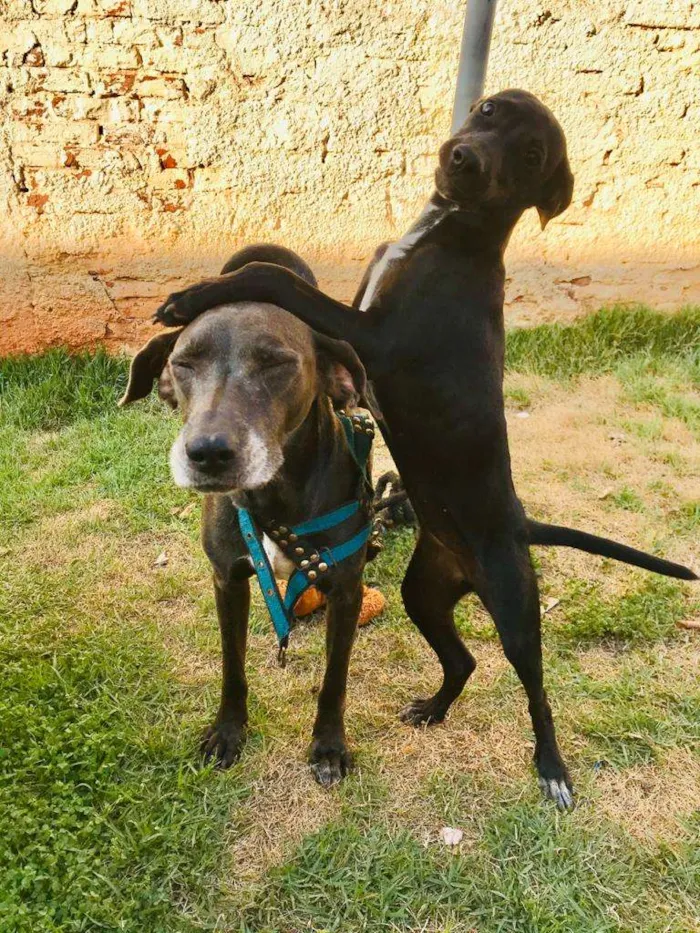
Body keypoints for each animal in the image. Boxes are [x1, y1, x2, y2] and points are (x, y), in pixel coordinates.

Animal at [119, 244, 374, 784]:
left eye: (277, 362)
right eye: (183, 363)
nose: (208, 453)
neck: (273, 498)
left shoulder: (346, 588)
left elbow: (335, 678)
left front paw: (328, 745)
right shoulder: (227, 579)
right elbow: (231, 666)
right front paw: (228, 730)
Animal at [156, 89, 696, 808]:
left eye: (532, 156)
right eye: (491, 110)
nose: (464, 159)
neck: (450, 236)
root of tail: (519, 526)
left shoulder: (371, 335)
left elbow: (278, 277)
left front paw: (194, 294)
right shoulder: (353, 315)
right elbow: (289, 286)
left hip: (515, 609)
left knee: (537, 691)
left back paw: (552, 769)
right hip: (426, 592)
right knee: (463, 658)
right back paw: (435, 708)